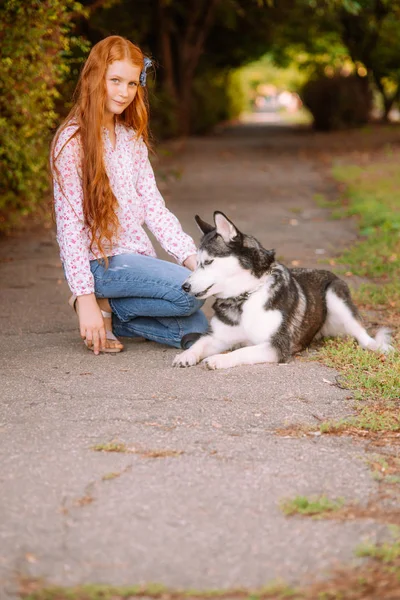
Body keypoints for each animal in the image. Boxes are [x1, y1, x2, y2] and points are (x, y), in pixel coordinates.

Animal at [173, 211, 394, 370]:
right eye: (197, 263)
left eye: (208, 262)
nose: (184, 287)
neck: (245, 297)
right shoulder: (218, 337)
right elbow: (200, 343)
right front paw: (186, 354)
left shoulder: (276, 346)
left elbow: (242, 352)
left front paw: (219, 359)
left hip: (335, 296)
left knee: (362, 334)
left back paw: (378, 346)